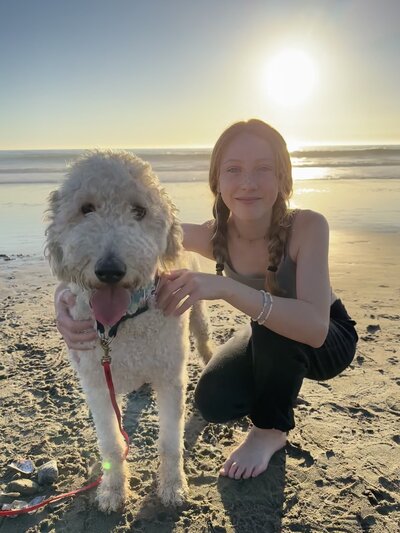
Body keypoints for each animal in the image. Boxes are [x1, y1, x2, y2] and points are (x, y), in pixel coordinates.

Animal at [45, 150, 212, 512]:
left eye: (140, 211)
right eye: (86, 208)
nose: (110, 270)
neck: (120, 324)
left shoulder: (170, 378)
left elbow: (170, 442)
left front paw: (173, 487)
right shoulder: (96, 384)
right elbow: (110, 442)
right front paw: (112, 489)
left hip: (197, 315)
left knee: (205, 341)